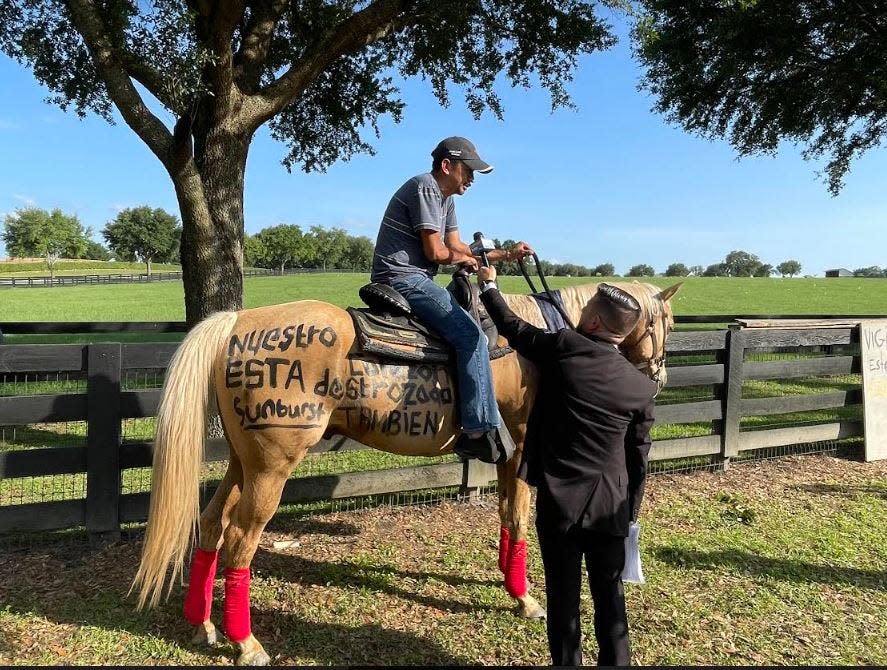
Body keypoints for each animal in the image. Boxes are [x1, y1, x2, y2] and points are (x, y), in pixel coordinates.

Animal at [130, 280, 680, 668]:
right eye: (667, 325)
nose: (658, 378)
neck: (538, 342)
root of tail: (237, 323)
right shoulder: (523, 445)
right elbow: (520, 517)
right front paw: (526, 599)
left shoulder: (509, 454)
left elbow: (507, 515)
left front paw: (510, 584)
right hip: (271, 468)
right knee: (241, 539)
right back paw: (246, 643)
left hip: (243, 462)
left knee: (212, 522)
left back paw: (203, 625)